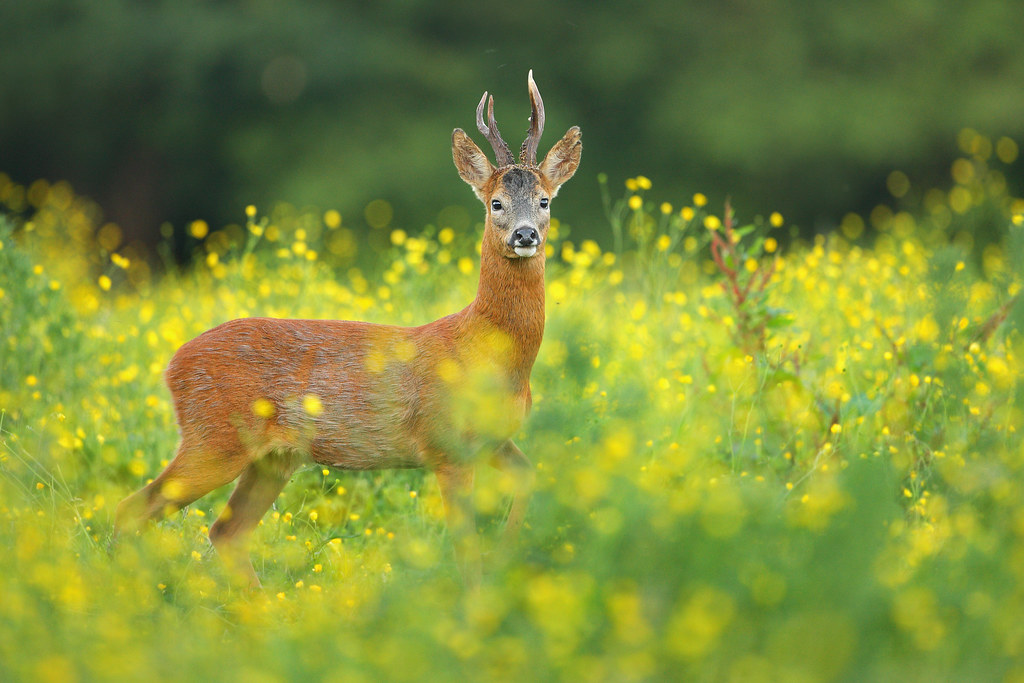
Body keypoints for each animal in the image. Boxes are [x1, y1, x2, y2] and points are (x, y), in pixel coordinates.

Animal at [114, 70, 582, 588]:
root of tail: (173, 364)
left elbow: (530, 477)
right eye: (495, 202)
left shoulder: (493, 439)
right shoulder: (446, 445)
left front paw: (508, 557)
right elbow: (465, 550)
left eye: (545, 200)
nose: (525, 235)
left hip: (273, 457)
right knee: (135, 509)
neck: (488, 352)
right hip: (214, 437)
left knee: (225, 531)